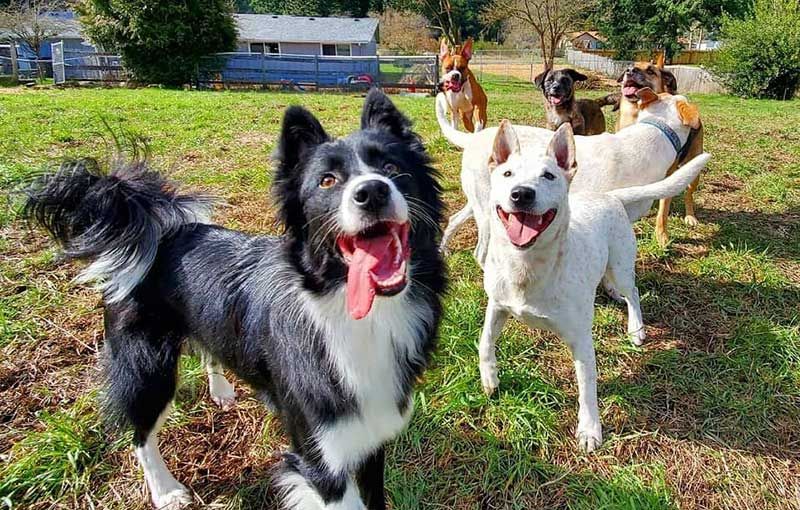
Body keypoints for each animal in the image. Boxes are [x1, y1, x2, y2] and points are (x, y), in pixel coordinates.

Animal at [25, 89, 446, 508]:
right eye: (327, 181)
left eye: (391, 167)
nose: (372, 191)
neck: (359, 313)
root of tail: (155, 227)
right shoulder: (321, 459)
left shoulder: (372, 437)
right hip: (146, 366)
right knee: (141, 431)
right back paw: (165, 490)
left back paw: (221, 390)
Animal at [434, 88, 704, 266]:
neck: (652, 134)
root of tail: (474, 138)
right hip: (490, 215)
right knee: (481, 252)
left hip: (482, 202)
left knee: (455, 219)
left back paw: (443, 250)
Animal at [476, 121, 708, 452]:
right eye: (508, 174)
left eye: (549, 176)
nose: (521, 194)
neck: (528, 266)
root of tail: (610, 196)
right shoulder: (497, 306)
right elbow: (485, 341)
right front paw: (490, 378)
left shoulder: (582, 341)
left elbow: (587, 387)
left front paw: (589, 430)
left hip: (621, 264)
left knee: (633, 292)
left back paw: (635, 328)